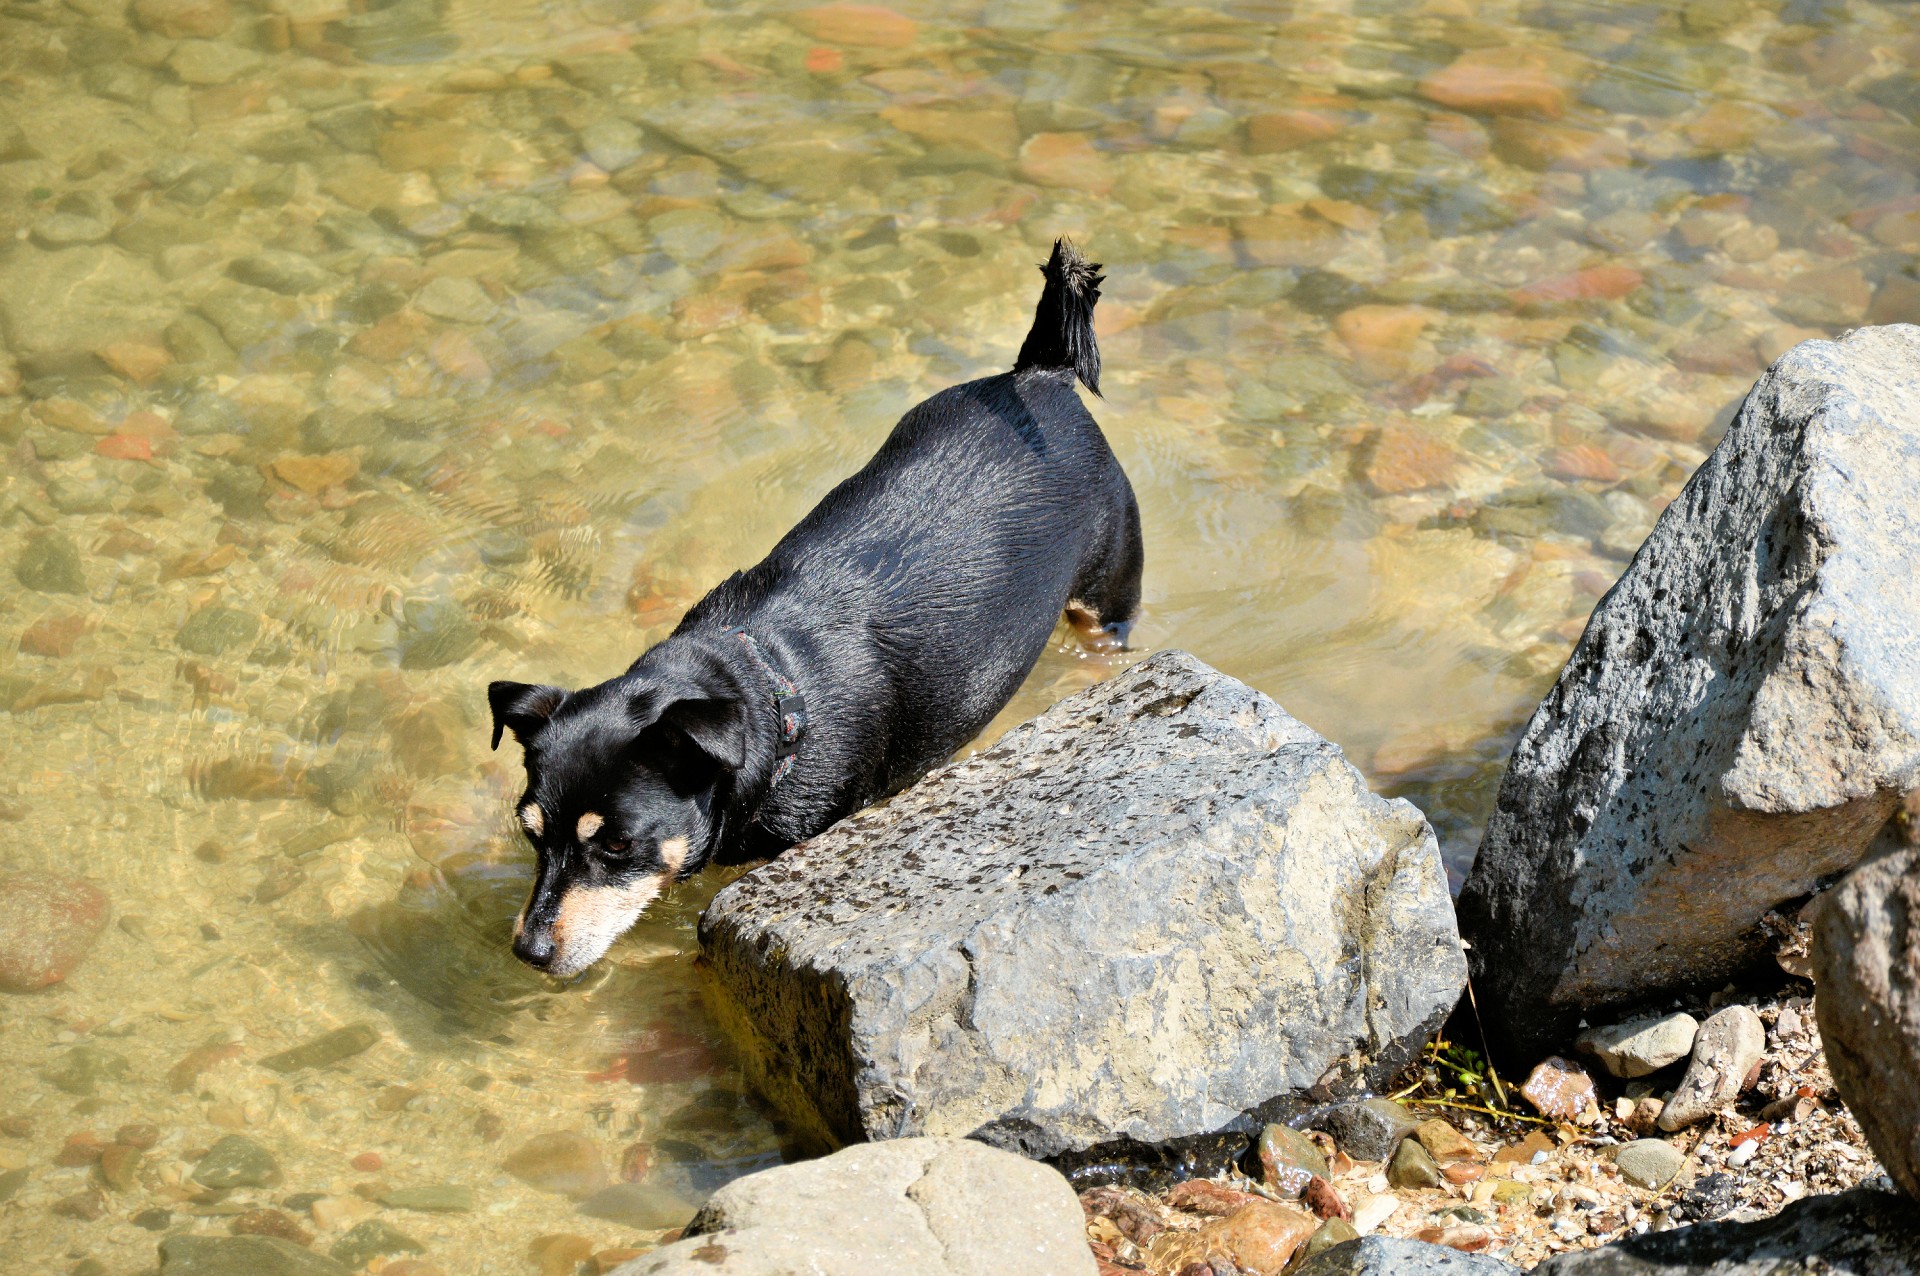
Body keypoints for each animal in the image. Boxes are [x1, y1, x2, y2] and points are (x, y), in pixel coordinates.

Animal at [487, 241, 1136, 974]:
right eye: (531, 834)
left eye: (619, 845)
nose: (529, 950)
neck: (767, 694)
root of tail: (1041, 373)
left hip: (1110, 584)